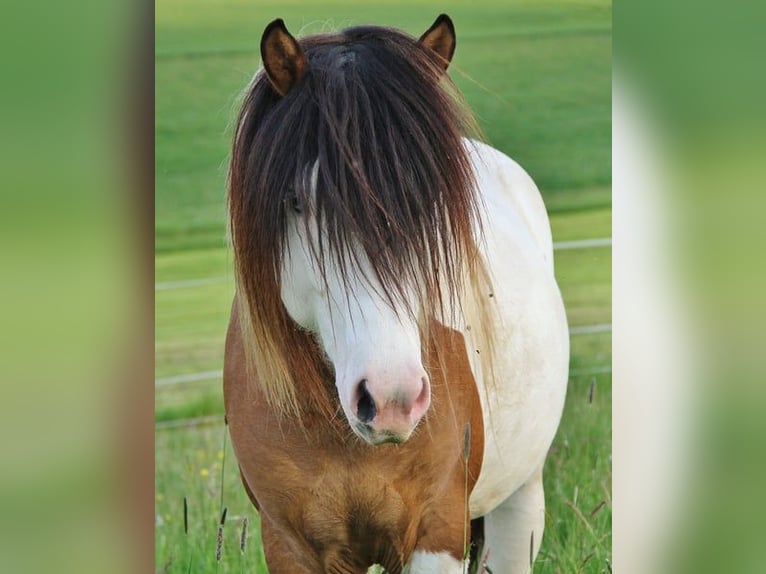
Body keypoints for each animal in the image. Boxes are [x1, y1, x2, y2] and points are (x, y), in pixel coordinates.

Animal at [223, 14, 569, 573]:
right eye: (296, 200)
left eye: (430, 201)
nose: (392, 399)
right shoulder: (289, 545)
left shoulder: (438, 530)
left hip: (519, 502)